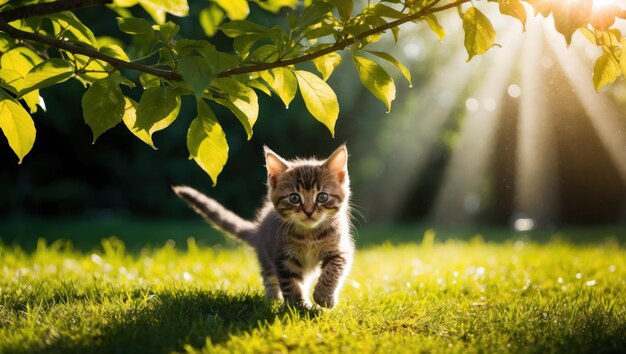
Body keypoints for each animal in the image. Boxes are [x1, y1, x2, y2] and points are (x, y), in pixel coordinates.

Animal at [173, 145, 354, 308]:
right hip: (265, 255)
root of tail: (258, 231)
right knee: (269, 276)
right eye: (294, 198)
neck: (309, 234)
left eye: (322, 197)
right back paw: (273, 298)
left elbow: (333, 270)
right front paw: (299, 305)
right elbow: (290, 282)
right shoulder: (282, 255)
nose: (309, 211)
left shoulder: (340, 248)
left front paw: (323, 297)